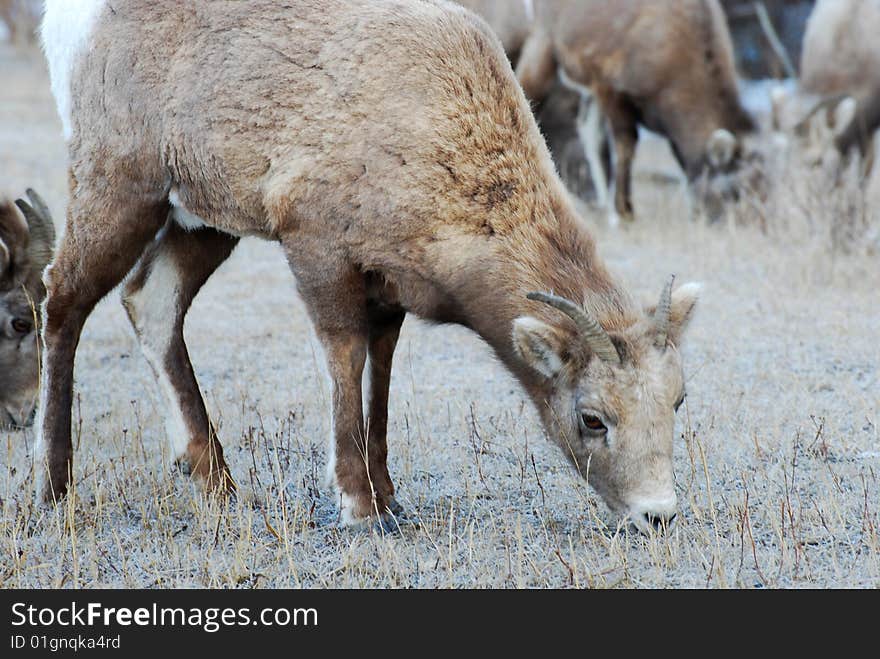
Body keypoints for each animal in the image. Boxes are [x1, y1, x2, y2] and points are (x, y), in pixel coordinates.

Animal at [39, 0, 700, 532]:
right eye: (592, 419)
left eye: (677, 401)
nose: (657, 515)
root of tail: (74, 20)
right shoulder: (318, 254)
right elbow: (344, 364)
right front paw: (358, 508)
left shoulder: (388, 294)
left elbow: (378, 382)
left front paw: (389, 500)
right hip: (122, 190)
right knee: (63, 302)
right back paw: (53, 489)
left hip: (199, 223)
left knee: (149, 304)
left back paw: (217, 486)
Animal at [516, 0, 756, 222]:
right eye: (734, 192)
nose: (751, 226)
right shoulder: (610, 89)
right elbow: (625, 147)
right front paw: (624, 213)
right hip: (542, 44)